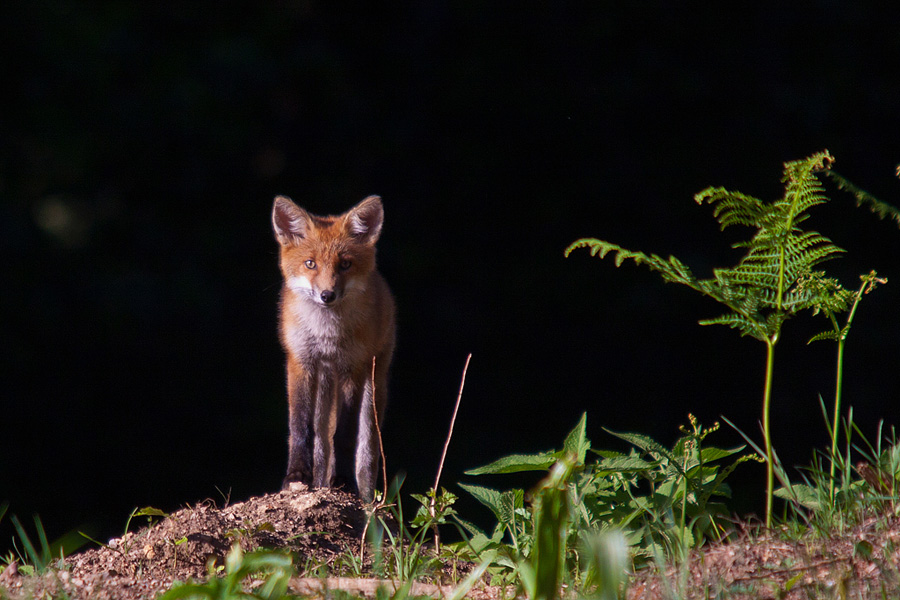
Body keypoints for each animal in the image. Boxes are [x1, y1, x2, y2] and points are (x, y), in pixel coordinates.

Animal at [272, 196, 396, 502]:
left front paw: (343, 482)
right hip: (325, 383)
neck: (326, 334)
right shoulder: (300, 362)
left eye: (345, 264)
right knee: (320, 437)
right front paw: (297, 476)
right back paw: (319, 481)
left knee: (366, 449)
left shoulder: (354, 367)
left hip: (373, 385)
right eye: (310, 264)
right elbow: (301, 428)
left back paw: (365, 498)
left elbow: (345, 434)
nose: (327, 295)